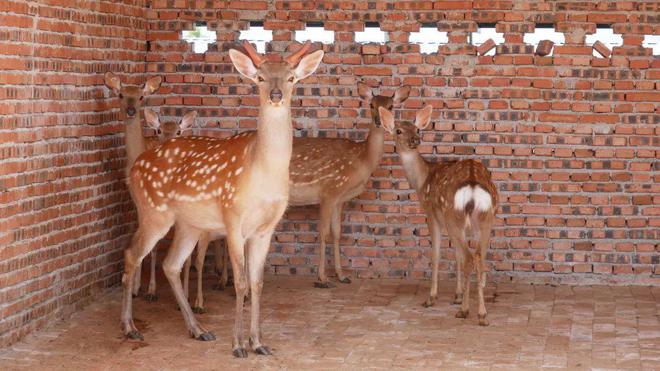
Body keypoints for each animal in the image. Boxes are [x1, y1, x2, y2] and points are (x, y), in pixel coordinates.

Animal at [122, 40, 324, 358]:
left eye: (291, 78)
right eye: (260, 78)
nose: (276, 95)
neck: (262, 174)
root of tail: (134, 167)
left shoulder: (266, 229)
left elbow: (257, 282)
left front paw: (259, 343)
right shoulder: (233, 218)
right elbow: (240, 283)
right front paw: (238, 345)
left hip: (189, 224)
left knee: (171, 264)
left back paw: (199, 330)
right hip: (153, 211)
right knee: (132, 254)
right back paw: (131, 327)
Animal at [378, 104, 498, 326]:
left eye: (417, 129)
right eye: (398, 130)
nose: (415, 140)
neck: (422, 181)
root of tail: (472, 185)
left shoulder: (432, 214)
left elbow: (436, 254)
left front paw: (431, 297)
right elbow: (457, 256)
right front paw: (458, 295)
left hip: (454, 216)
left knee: (470, 258)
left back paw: (465, 311)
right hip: (485, 218)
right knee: (478, 257)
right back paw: (482, 313)